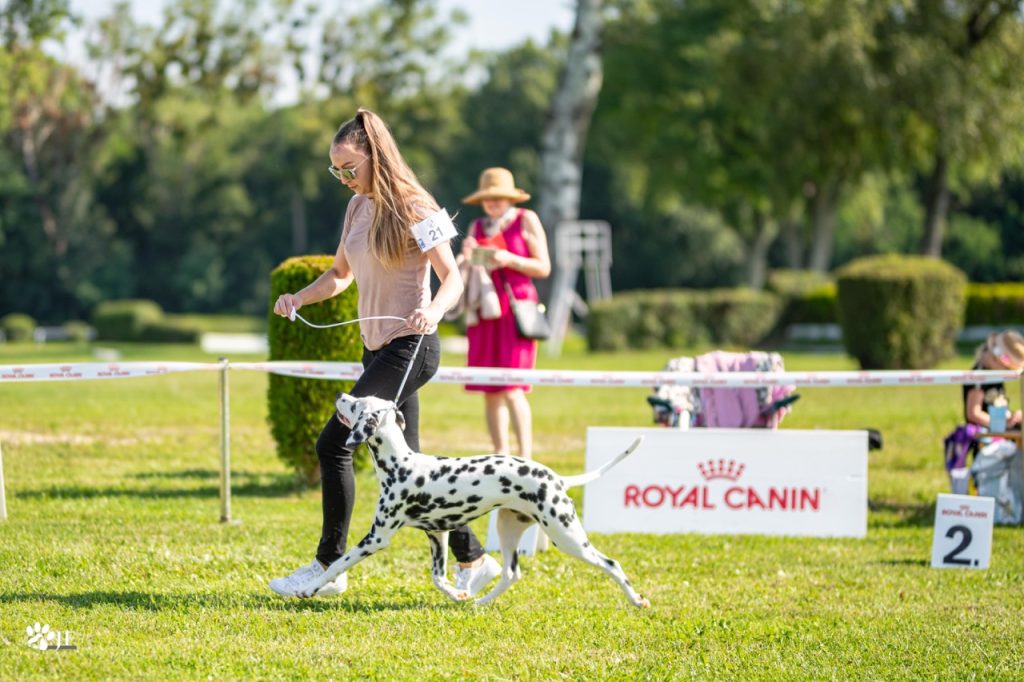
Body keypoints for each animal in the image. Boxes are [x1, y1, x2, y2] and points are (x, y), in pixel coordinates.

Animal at [295, 393, 650, 608]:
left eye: (357, 405)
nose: (340, 396)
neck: (402, 465)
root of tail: (557, 479)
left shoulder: (376, 538)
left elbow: (336, 564)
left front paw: (308, 590)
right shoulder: (438, 534)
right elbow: (438, 578)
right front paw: (459, 595)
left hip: (567, 536)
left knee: (611, 564)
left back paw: (637, 600)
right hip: (508, 531)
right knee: (510, 574)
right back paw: (479, 603)